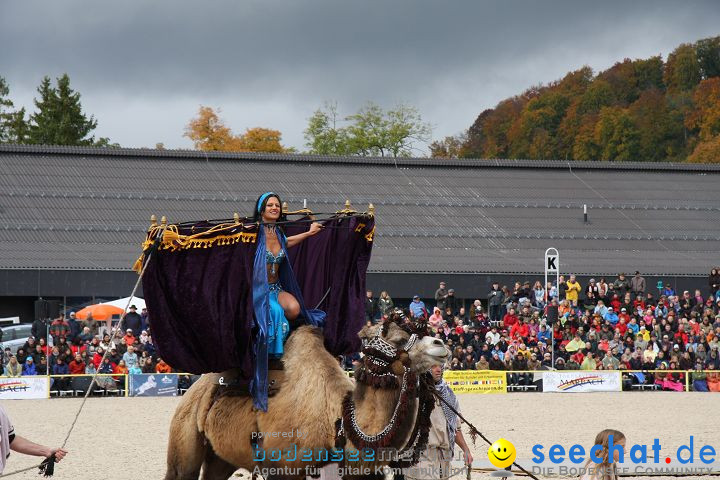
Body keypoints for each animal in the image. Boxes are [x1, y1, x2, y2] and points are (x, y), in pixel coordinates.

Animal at [165, 316, 450, 480]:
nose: (441, 344)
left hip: (221, 455)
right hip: (183, 439)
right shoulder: (282, 468)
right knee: (181, 470)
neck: (336, 422)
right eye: (400, 339)